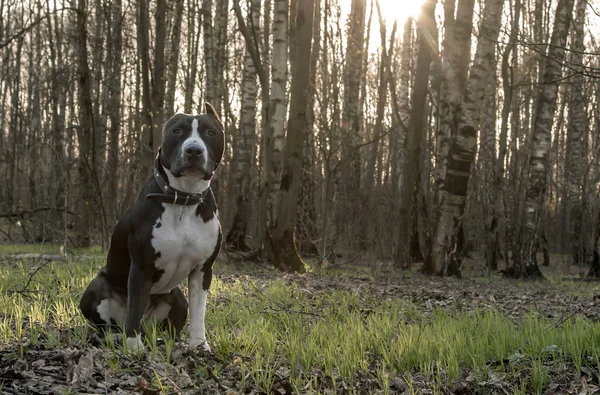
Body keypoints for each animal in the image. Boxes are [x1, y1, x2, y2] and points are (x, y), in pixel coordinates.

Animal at [79, 103, 225, 354]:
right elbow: (135, 307)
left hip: (177, 300)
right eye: (177, 131)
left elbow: (199, 312)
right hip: (95, 290)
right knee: (110, 324)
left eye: (211, 133)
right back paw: (117, 337)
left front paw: (199, 344)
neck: (183, 199)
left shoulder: (203, 270)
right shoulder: (141, 267)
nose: (194, 150)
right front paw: (133, 347)